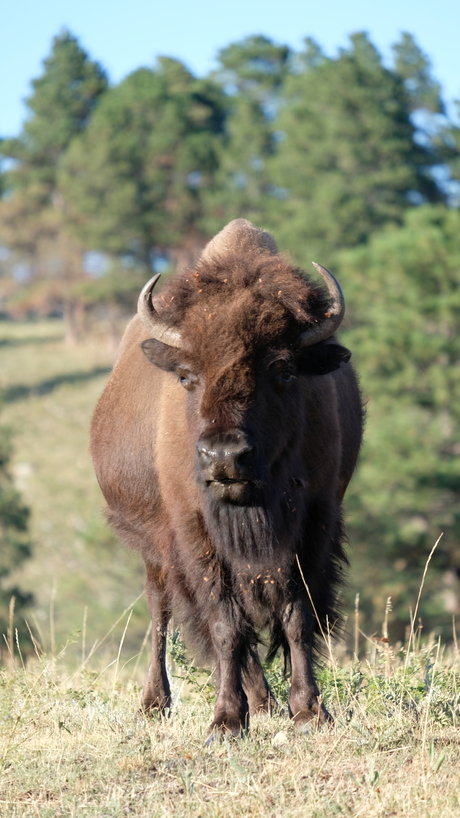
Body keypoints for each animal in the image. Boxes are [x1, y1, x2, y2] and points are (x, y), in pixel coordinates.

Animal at [90, 217, 362, 732]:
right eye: (186, 376)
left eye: (283, 370)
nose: (224, 456)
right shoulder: (194, 532)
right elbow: (224, 624)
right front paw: (226, 721)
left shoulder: (314, 521)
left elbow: (297, 615)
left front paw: (309, 711)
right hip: (154, 546)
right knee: (161, 610)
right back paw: (156, 703)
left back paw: (266, 702)